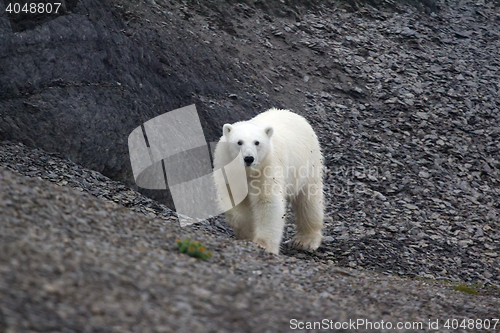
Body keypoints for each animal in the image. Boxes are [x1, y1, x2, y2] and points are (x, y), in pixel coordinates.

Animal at [212, 107, 324, 253]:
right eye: (239, 142)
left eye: (257, 142)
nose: (249, 158)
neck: (248, 171)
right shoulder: (228, 167)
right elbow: (234, 199)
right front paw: (248, 231)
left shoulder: (268, 167)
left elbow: (268, 201)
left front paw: (264, 245)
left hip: (307, 164)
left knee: (308, 200)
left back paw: (305, 240)